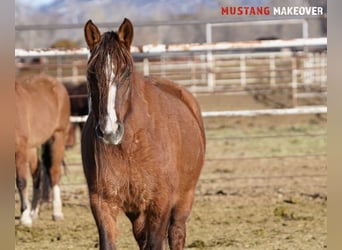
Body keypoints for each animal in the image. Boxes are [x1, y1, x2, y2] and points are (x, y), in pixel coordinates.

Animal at [15, 73, 71, 227]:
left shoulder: (19, 148)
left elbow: (21, 181)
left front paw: (24, 218)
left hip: (57, 136)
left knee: (54, 172)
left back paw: (56, 212)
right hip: (32, 147)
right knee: (37, 172)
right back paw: (34, 212)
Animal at [81, 18, 206, 249]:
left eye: (126, 73)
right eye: (91, 74)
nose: (109, 130)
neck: (130, 146)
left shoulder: (160, 202)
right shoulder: (103, 203)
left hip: (184, 199)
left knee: (176, 233)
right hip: (137, 212)